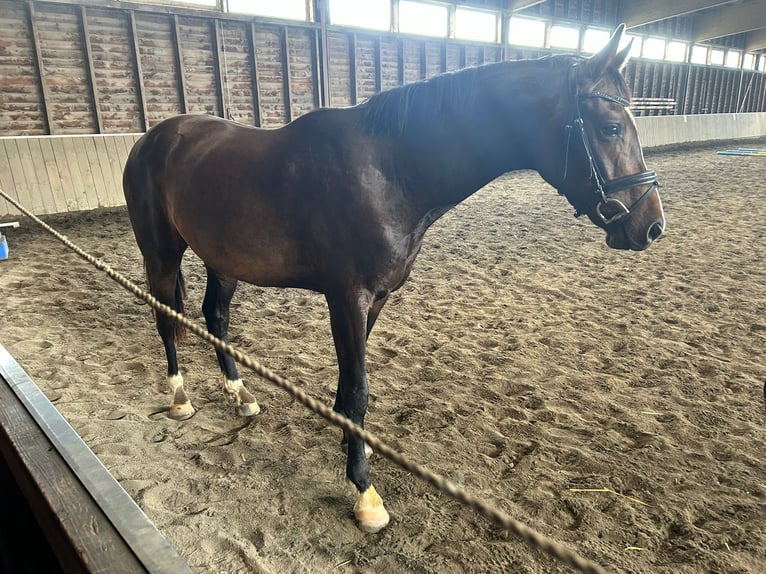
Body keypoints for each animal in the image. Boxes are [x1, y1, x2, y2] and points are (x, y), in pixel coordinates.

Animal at [121, 24, 664, 532]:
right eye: (611, 128)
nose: (651, 225)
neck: (389, 169)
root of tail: (153, 138)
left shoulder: (376, 299)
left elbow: (349, 387)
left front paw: (350, 446)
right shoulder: (347, 297)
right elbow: (358, 388)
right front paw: (365, 494)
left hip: (223, 260)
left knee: (215, 317)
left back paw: (241, 397)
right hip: (161, 252)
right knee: (165, 319)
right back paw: (180, 399)